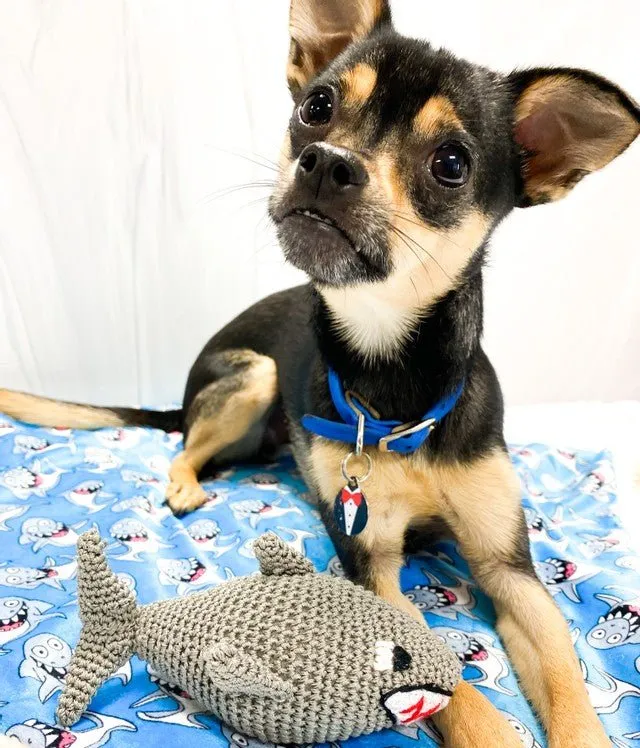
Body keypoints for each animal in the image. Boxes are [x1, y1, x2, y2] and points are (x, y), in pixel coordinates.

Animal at [1, 1, 640, 748]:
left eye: (451, 163)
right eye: (317, 107)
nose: (328, 162)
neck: (395, 384)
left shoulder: (510, 570)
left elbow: (567, 682)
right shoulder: (375, 565)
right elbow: (459, 693)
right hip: (254, 375)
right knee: (182, 442)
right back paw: (186, 483)